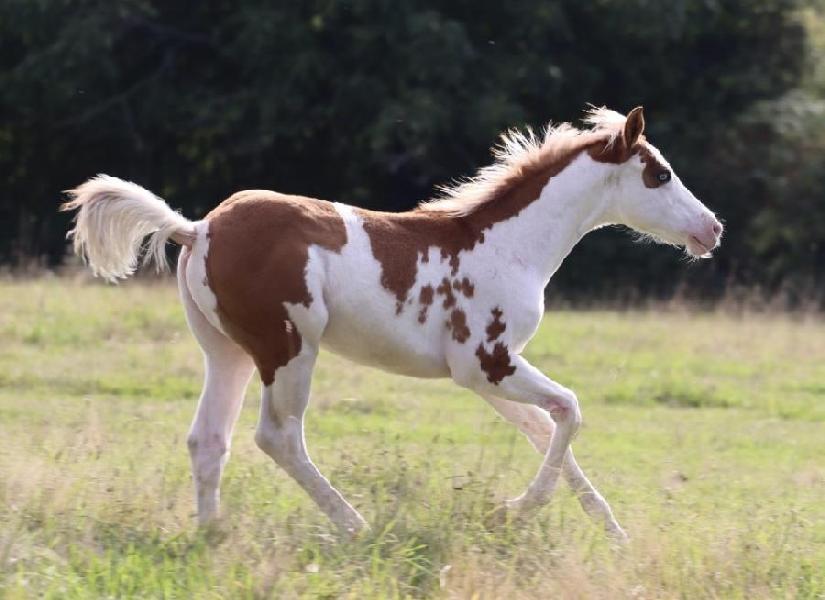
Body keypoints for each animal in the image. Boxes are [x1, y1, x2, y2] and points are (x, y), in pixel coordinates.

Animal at [62, 106, 723, 541]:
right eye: (659, 173)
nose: (711, 229)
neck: (509, 246)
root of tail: (198, 228)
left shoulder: (490, 375)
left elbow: (548, 428)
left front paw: (611, 531)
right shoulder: (486, 365)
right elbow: (571, 411)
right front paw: (512, 511)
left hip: (227, 352)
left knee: (208, 439)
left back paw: (213, 535)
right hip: (289, 349)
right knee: (277, 437)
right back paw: (356, 526)